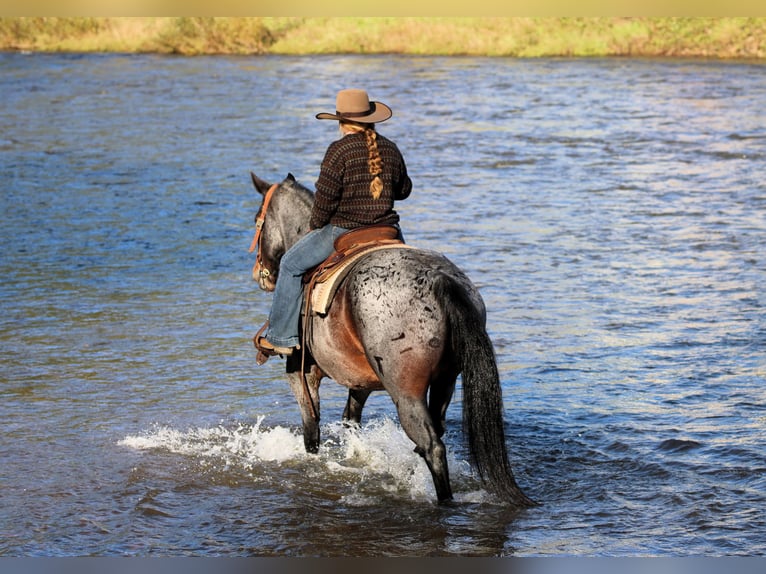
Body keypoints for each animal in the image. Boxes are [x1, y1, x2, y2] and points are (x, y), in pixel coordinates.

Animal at [249, 171, 535, 507]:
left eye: (257, 220)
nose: (262, 275)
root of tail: (441, 279)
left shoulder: (301, 371)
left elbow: (311, 430)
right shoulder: (360, 382)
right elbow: (350, 421)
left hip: (406, 392)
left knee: (432, 445)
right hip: (445, 381)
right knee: (435, 433)